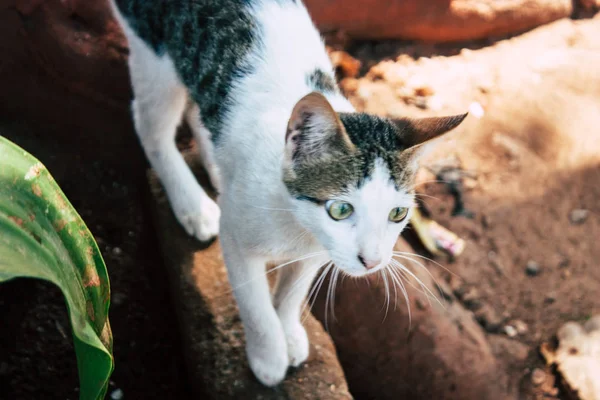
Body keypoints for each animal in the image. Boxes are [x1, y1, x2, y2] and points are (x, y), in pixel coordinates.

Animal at [108, 0, 466, 388]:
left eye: (398, 214)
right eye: (340, 209)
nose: (372, 262)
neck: (296, 221)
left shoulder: (318, 250)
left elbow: (293, 292)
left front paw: (290, 334)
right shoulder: (236, 238)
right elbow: (255, 304)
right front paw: (269, 356)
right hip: (153, 52)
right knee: (150, 124)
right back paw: (192, 204)